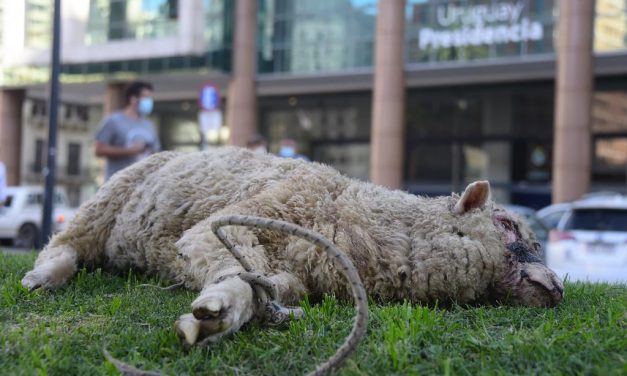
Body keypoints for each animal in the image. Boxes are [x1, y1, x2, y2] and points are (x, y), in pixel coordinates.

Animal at [23, 147, 564, 346]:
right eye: (506, 225)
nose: (558, 288)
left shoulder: (298, 271)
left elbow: (275, 285)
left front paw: (240, 310)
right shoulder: (230, 220)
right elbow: (226, 262)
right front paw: (220, 308)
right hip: (105, 202)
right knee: (65, 243)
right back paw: (42, 277)